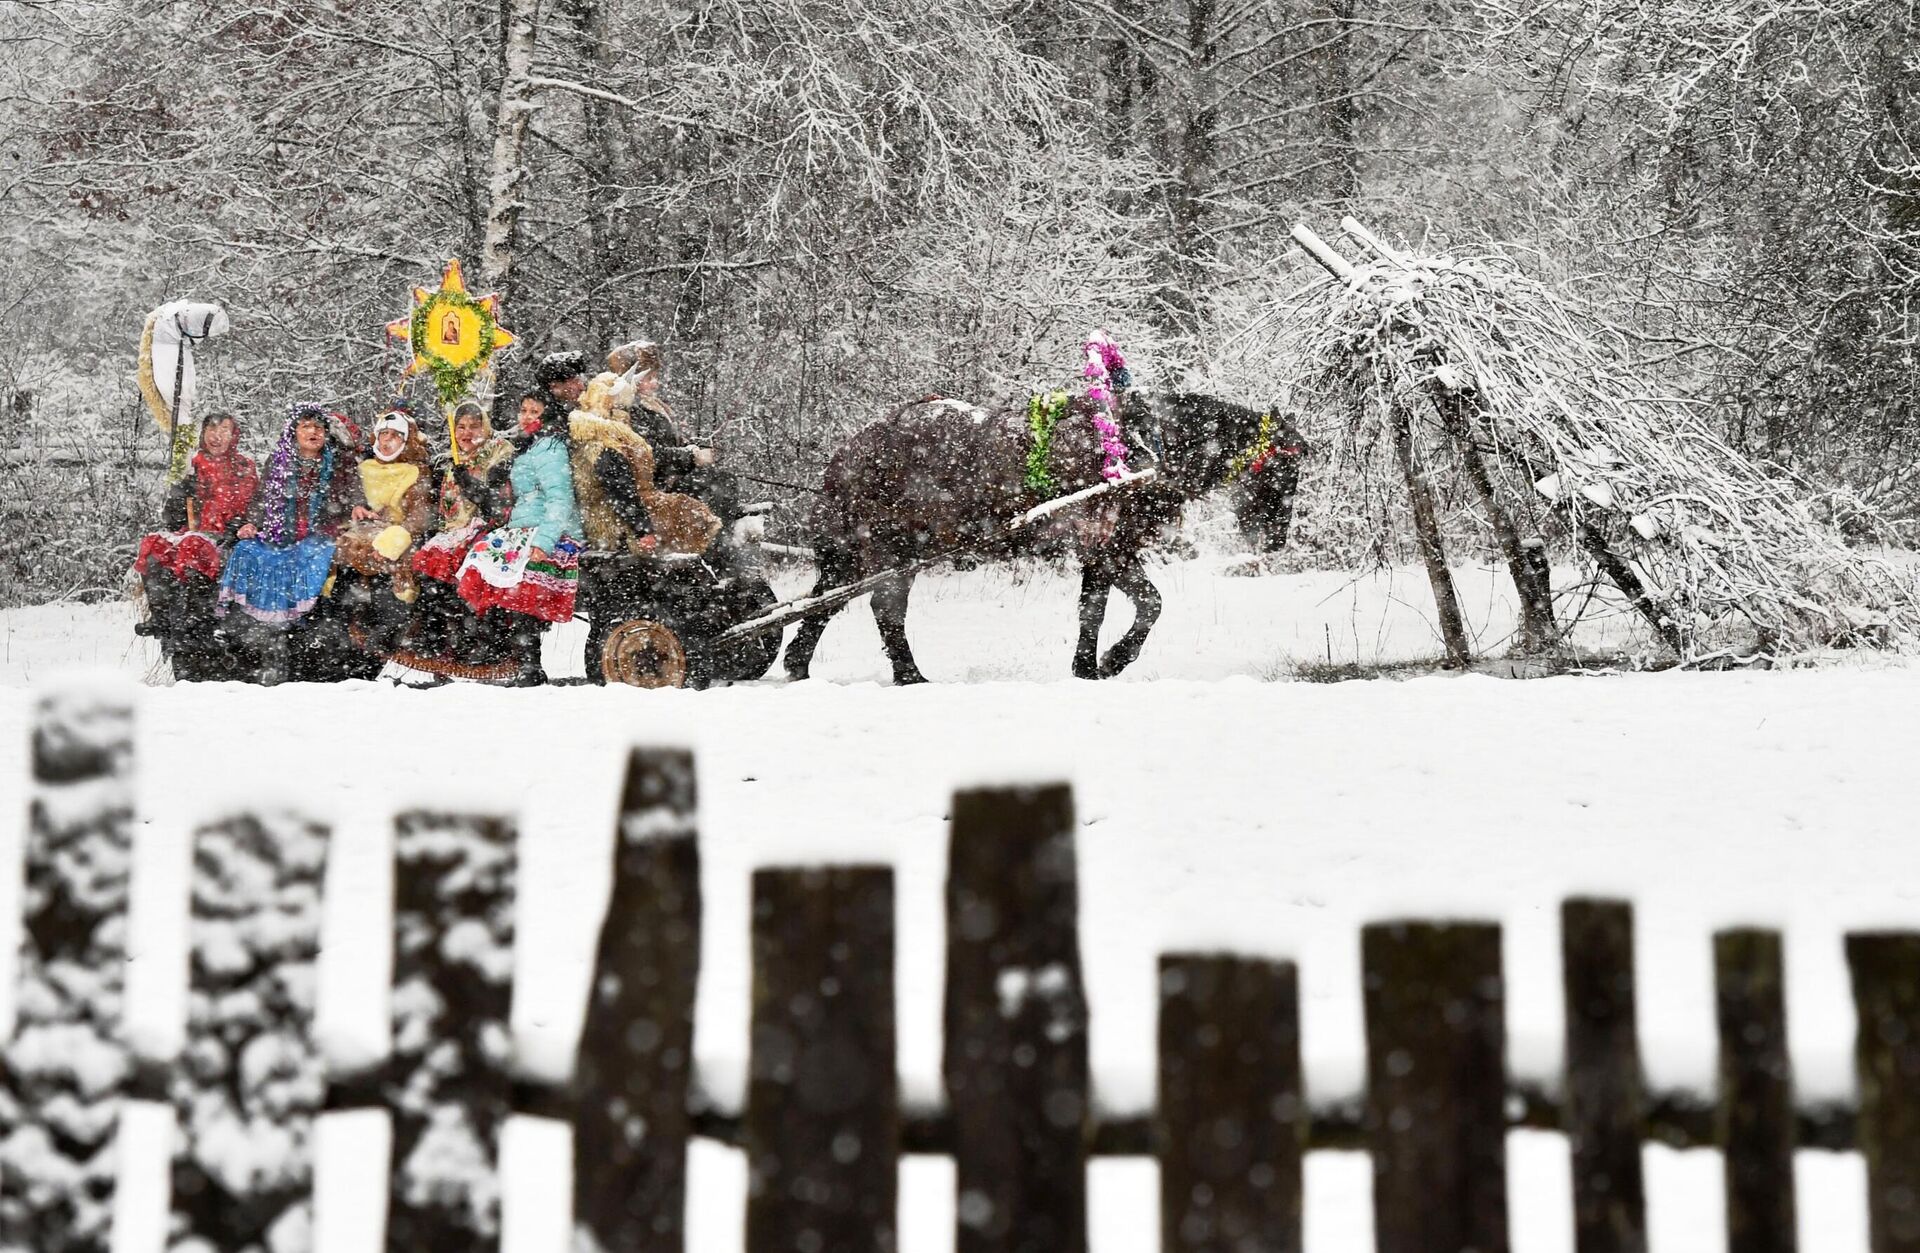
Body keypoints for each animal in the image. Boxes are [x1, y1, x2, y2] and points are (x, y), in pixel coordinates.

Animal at [779, 391, 1305, 683]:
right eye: (1283, 470)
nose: (1276, 540)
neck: (1141, 449)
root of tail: (850, 450)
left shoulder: (1112, 550)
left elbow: (1129, 607)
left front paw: (1102, 664)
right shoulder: (1101, 545)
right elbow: (1117, 608)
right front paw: (1101, 663)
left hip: (863, 552)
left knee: (824, 602)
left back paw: (798, 664)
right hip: (890, 547)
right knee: (884, 609)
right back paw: (909, 676)